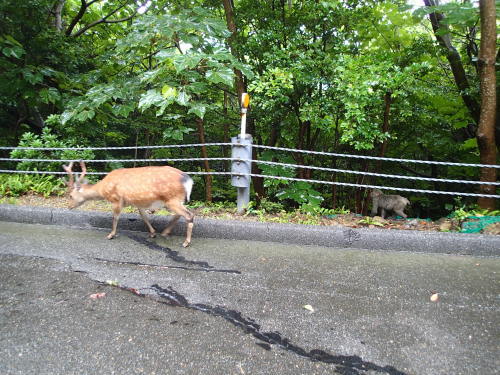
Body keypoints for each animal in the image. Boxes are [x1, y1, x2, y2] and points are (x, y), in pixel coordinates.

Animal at [63, 161, 195, 247]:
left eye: (71, 195)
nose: (69, 206)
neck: (103, 190)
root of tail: (188, 180)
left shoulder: (116, 199)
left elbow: (115, 217)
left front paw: (111, 235)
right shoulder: (138, 202)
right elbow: (143, 216)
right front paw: (152, 233)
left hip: (172, 199)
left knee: (189, 215)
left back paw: (186, 242)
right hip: (174, 200)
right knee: (180, 214)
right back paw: (165, 232)